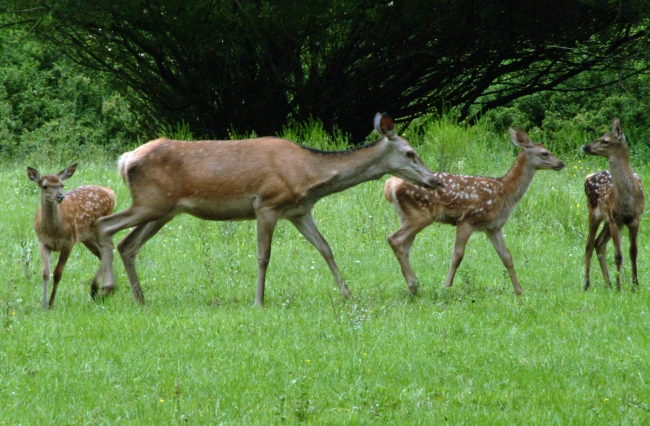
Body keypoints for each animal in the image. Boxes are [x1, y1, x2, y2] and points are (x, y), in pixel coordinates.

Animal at [27, 164, 116, 310]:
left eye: (62, 185)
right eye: (45, 186)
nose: (60, 197)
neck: (54, 230)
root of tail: (111, 192)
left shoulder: (68, 242)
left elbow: (58, 273)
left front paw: (51, 302)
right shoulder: (42, 242)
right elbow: (45, 273)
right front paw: (44, 304)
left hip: (100, 227)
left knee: (109, 249)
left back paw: (99, 288)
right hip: (86, 236)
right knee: (102, 253)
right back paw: (105, 289)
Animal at [96, 113, 440, 306]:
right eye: (410, 152)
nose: (434, 180)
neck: (309, 175)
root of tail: (125, 160)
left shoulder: (299, 211)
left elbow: (326, 249)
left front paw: (347, 295)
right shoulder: (267, 204)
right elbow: (263, 257)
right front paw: (258, 301)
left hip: (162, 209)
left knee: (128, 244)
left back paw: (138, 298)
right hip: (150, 202)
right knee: (105, 225)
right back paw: (107, 287)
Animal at [384, 127, 560, 296]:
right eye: (545, 152)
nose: (561, 163)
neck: (505, 192)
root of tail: (391, 185)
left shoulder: (494, 227)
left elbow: (506, 256)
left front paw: (519, 291)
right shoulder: (469, 220)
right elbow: (457, 256)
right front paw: (446, 287)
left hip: (406, 215)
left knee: (404, 247)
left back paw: (412, 287)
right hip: (421, 214)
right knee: (394, 239)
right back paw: (413, 285)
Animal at [580, 120, 640, 292]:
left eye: (605, 141)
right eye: (600, 137)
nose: (585, 146)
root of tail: (588, 176)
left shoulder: (635, 219)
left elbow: (633, 252)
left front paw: (635, 286)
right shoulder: (615, 219)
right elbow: (618, 255)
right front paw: (620, 287)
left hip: (608, 220)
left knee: (599, 244)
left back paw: (608, 283)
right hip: (594, 212)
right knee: (589, 243)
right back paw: (586, 284)